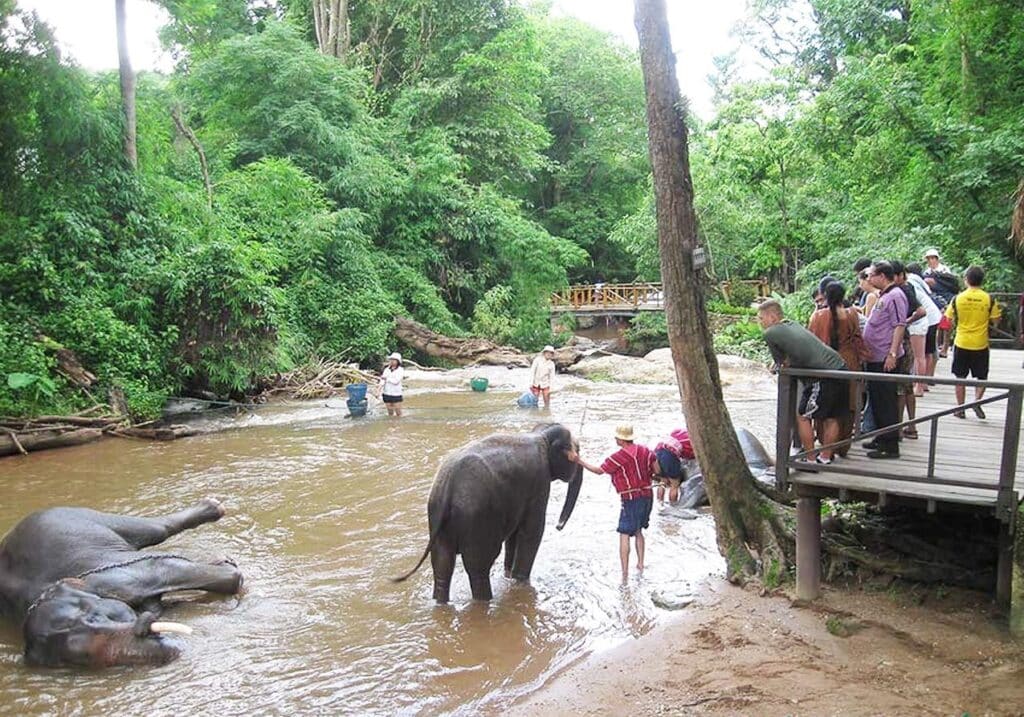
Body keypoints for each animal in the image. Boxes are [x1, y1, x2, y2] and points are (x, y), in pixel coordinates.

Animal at [0, 498, 243, 668]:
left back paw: (213, 507)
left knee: (157, 529)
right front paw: (225, 562)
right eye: (80, 656)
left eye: (94, 616)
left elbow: (165, 565)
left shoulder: (116, 575)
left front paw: (229, 567)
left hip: (84, 518)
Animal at [394, 423, 582, 603]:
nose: (559, 526)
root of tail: (449, 486)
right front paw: (520, 581)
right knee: (478, 569)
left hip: (439, 518)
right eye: (577, 451)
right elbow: (532, 532)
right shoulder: (539, 482)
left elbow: (514, 536)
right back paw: (485, 600)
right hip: (478, 519)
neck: (541, 433)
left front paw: (509, 577)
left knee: (442, 565)